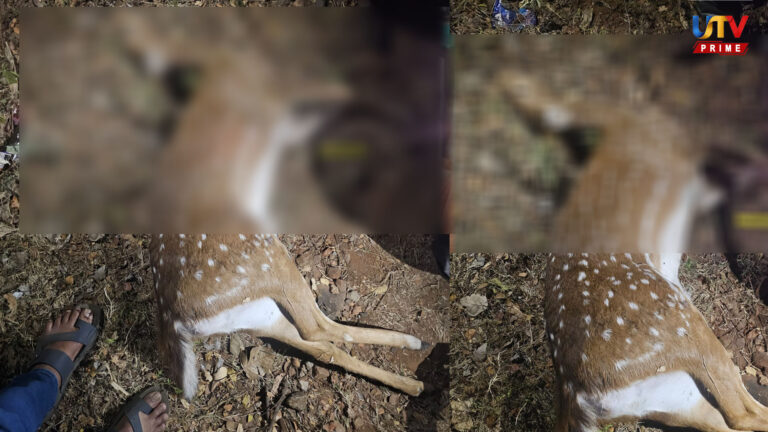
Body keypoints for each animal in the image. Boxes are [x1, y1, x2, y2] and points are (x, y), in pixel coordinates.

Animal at [149, 234, 426, 400]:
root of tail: (173, 320)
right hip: (265, 256)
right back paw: (415, 344)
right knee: (316, 328)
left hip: (258, 315)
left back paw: (414, 380)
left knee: (321, 347)